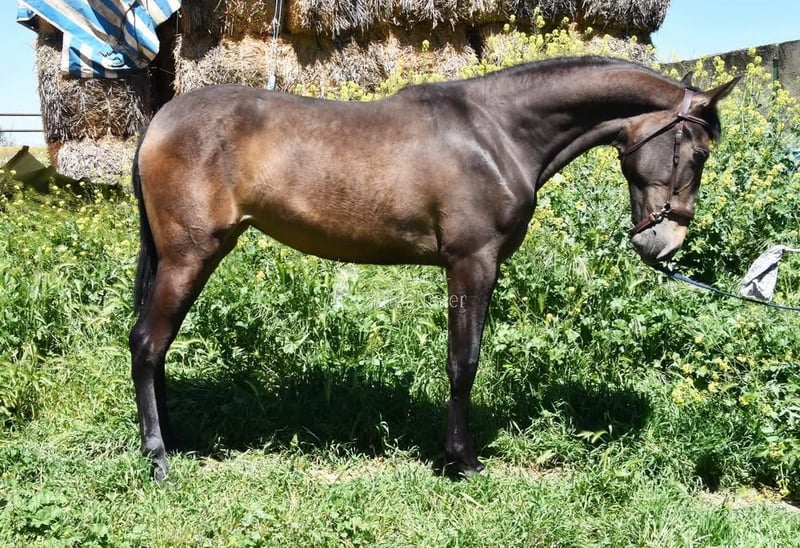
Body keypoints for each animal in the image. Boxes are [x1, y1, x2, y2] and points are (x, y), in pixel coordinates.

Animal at [129, 56, 739, 480]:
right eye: (700, 152)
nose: (665, 244)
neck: (498, 132)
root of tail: (159, 120)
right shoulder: (472, 263)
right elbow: (463, 362)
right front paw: (462, 461)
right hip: (190, 256)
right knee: (147, 343)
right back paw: (158, 457)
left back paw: (168, 437)